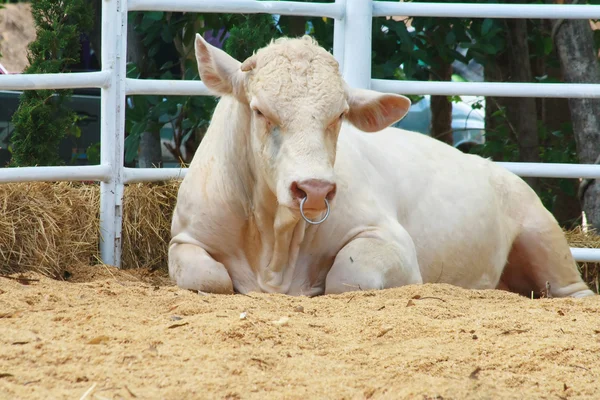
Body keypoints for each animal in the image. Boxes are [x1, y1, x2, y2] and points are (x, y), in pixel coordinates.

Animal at [168, 32, 596, 298]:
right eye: (259, 111)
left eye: (340, 115)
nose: (315, 189)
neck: (274, 249)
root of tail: (496, 168)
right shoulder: (184, 239)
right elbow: (211, 277)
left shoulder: (392, 241)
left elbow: (348, 274)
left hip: (542, 233)